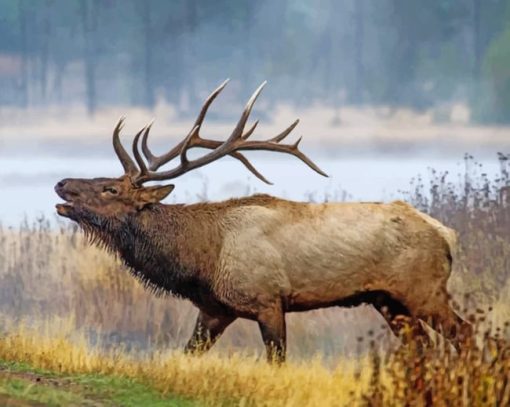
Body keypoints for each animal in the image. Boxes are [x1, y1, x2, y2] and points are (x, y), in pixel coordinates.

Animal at [54, 80, 470, 364]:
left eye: (110, 188)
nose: (61, 184)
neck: (202, 259)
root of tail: (448, 235)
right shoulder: (215, 309)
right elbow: (188, 352)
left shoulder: (267, 299)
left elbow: (277, 360)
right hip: (388, 300)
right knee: (422, 347)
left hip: (424, 290)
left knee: (465, 332)